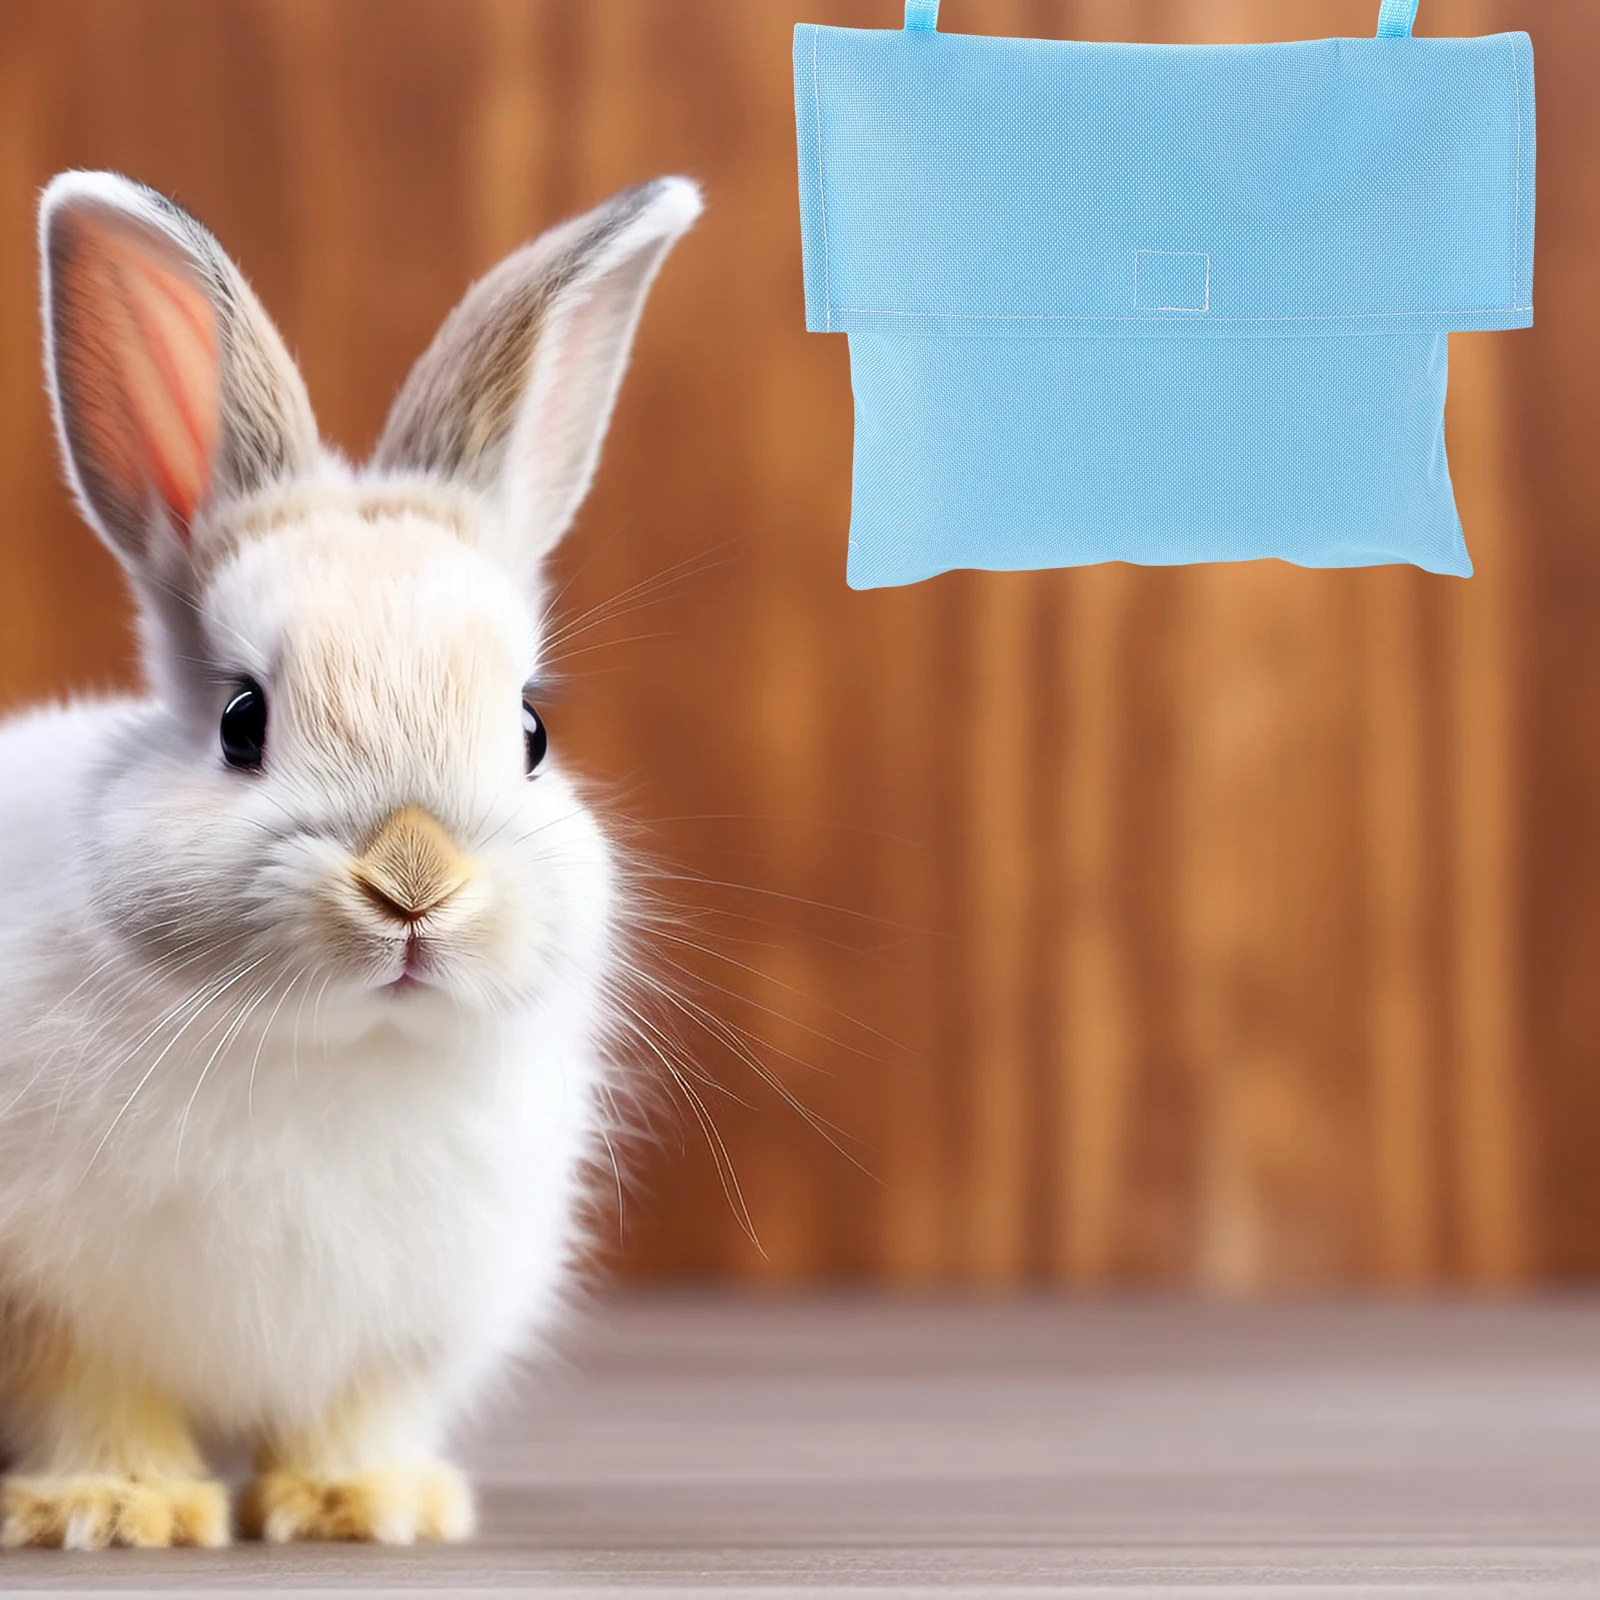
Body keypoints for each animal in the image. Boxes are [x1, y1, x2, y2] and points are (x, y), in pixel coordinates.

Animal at [0, 169, 700, 1549]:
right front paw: (112, 1510)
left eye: (530, 731)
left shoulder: (405, 1329)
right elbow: (95, 1401)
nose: (414, 883)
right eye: (241, 721)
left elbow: (355, 1409)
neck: (336, 1050)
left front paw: (367, 1503)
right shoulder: (55, 1311)